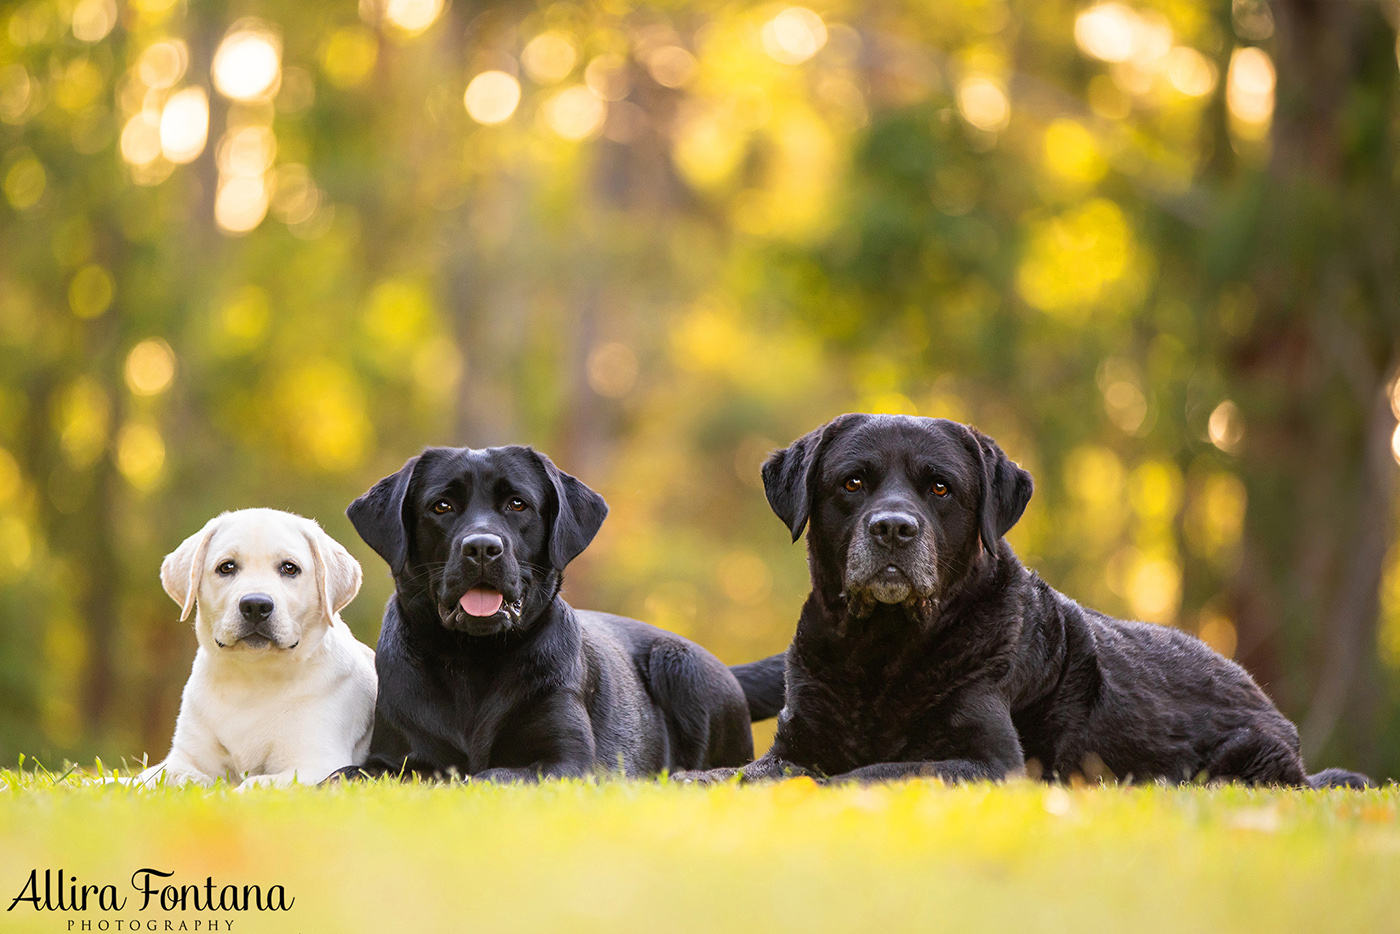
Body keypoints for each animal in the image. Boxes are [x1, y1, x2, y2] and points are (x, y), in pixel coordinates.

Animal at [138, 512, 378, 789]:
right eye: (226, 567)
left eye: (289, 568)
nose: (255, 605)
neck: (252, 676)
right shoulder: (184, 756)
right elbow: (153, 777)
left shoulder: (316, 763)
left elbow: (253, 784)